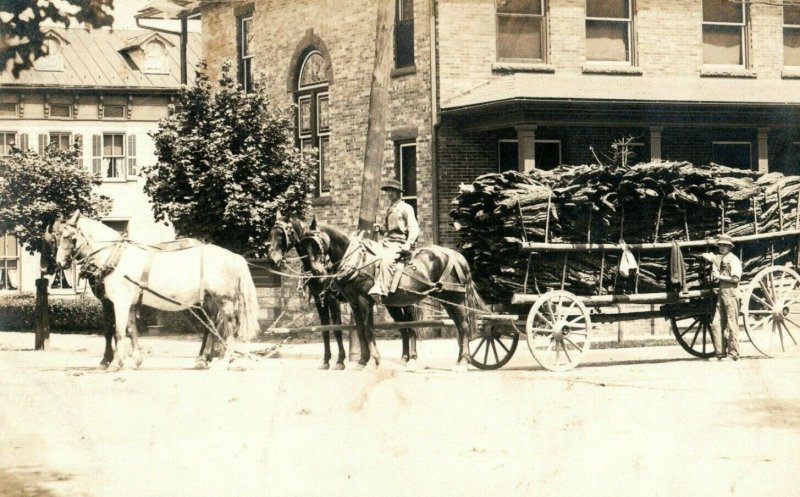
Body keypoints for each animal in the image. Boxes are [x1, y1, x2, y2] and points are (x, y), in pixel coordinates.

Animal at [54, 209, 260, 368]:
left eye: (69, 237)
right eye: (56, 237)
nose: (59, 263)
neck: (116, 257)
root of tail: (234, 256)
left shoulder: (119, 302)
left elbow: (118, 331)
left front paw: (114, 363)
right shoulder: (129, 303)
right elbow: (132, 330)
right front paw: (136, 360)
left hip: (224, 300)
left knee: (229, 327)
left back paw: (223, 361)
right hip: (210, 300)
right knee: (213, 326)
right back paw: (207, 359)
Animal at [300, 219, 482, 370]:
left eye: (316, 244)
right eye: (303, 246)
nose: (316, 271)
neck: (357, 260)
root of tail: (457, 256)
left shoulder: (362, 300)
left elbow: (367, 330)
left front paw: (373, 359)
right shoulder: (354, 303)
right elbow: (358, 330)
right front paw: (362, 361)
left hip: (454, 299)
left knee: (463, 326)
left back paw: (461, 361)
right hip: (444, 301)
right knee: (452, 327)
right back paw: (456, 360)